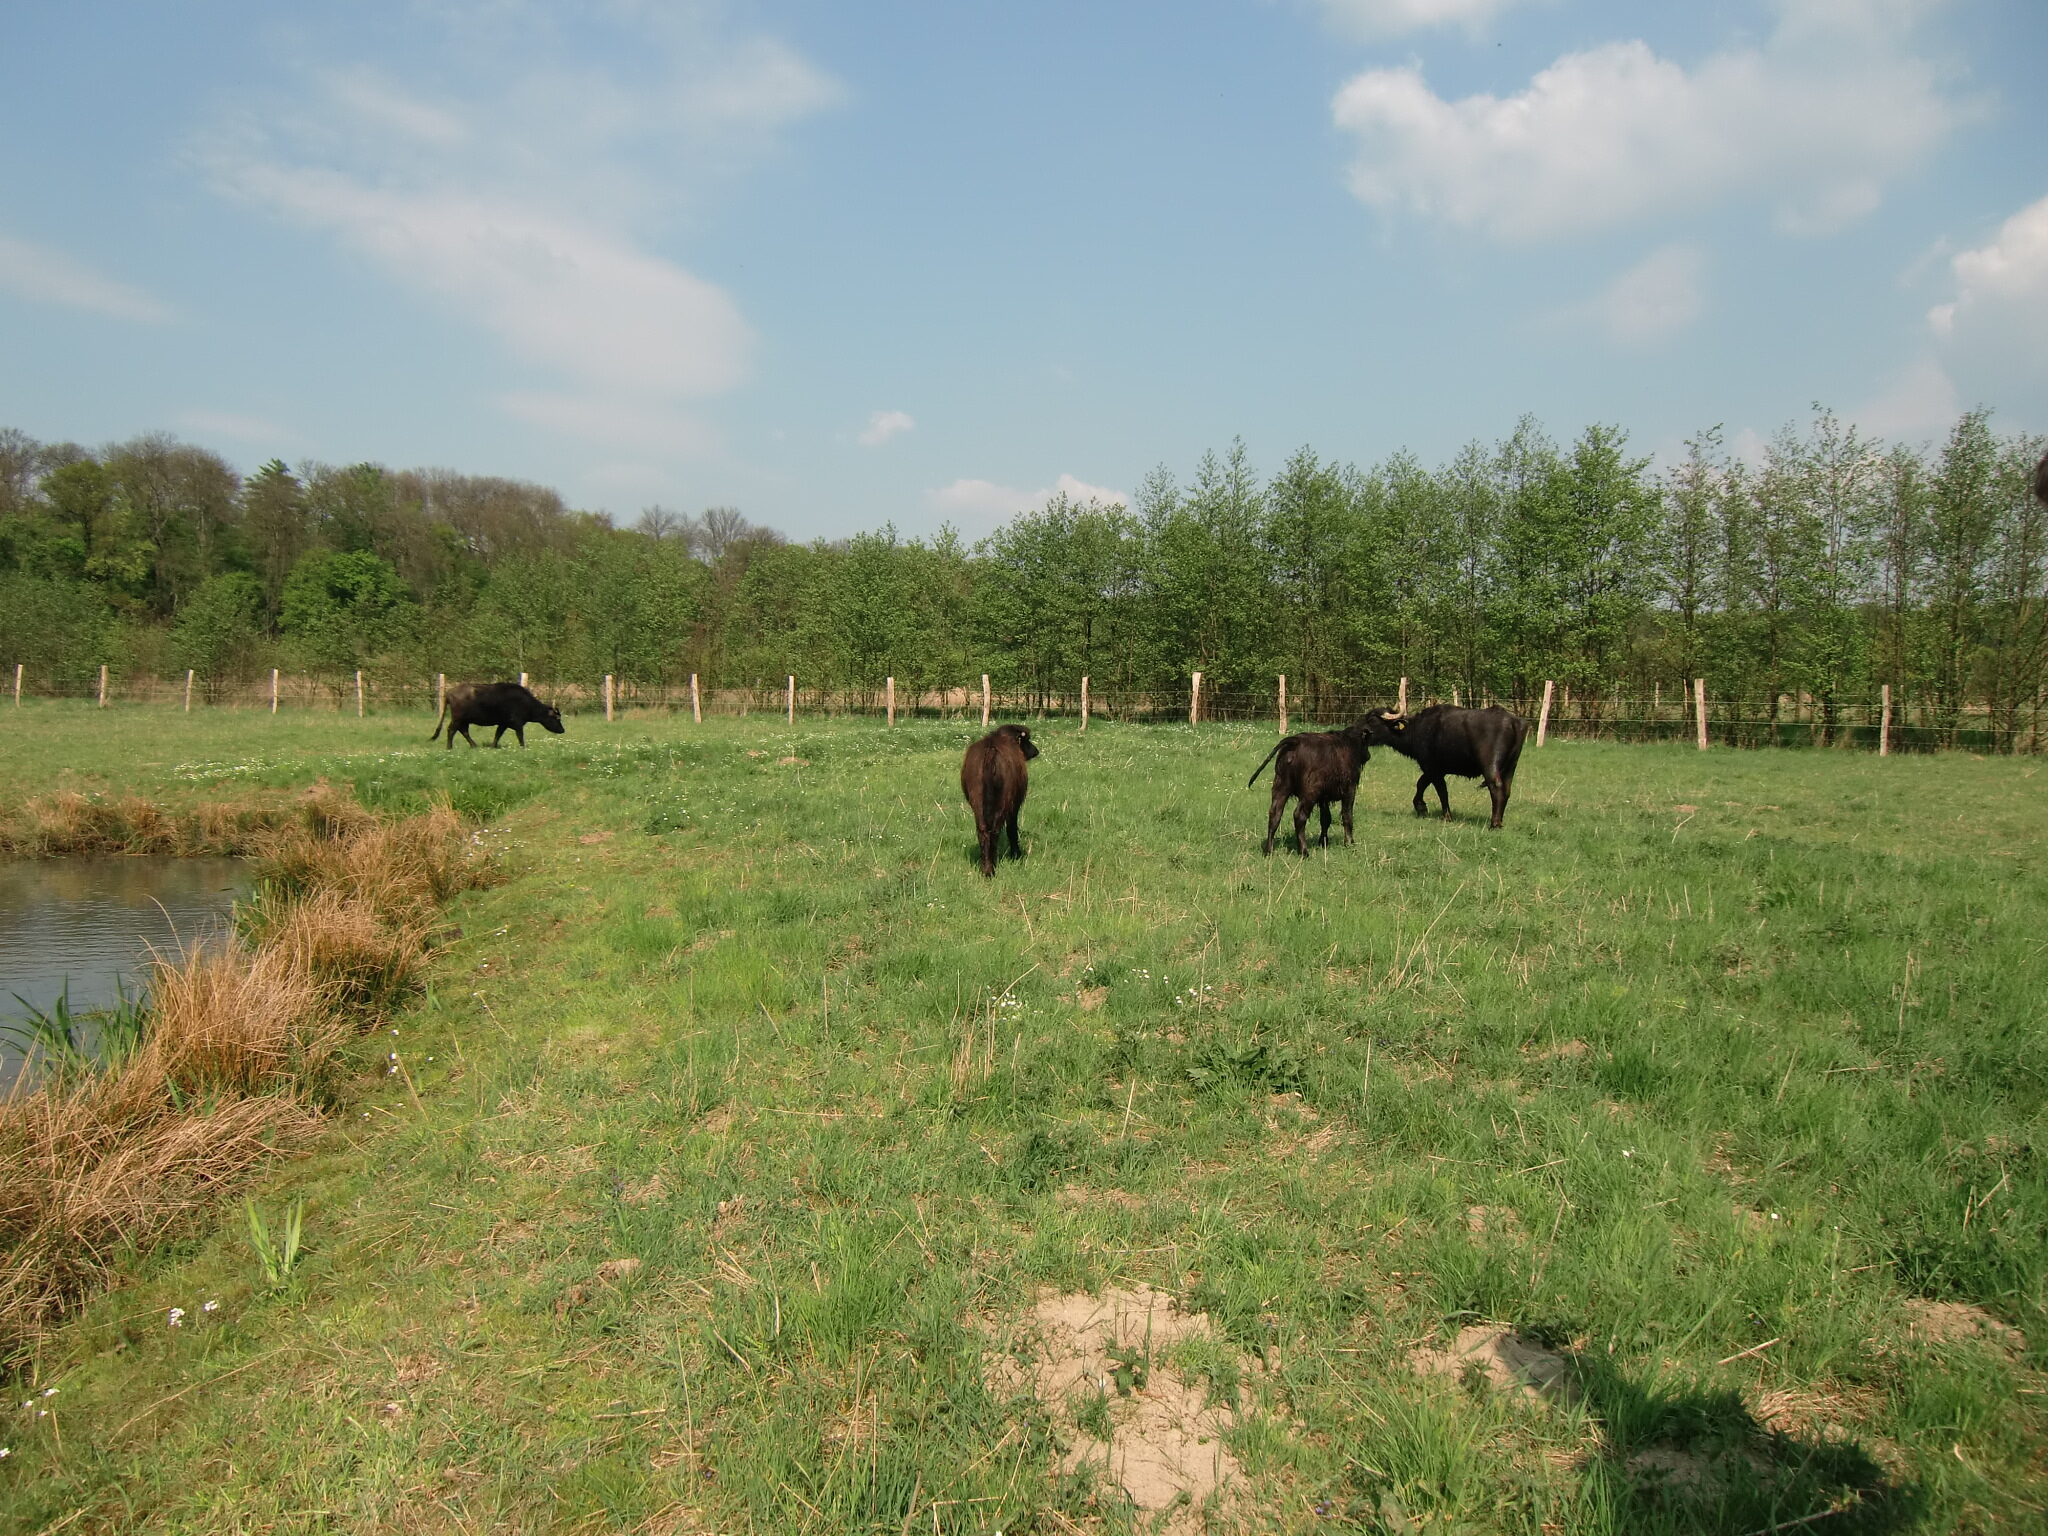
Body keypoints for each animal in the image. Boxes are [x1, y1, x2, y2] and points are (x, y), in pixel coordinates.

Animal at [428, 684, 565, 749]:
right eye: (557, 718)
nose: (563, 730)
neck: (526, 703)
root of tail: (449, 692)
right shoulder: (517, 723)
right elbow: (520, 736)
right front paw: (523, 747)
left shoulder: (503, 723)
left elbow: (498, 734)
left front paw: (493, 746)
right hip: (458, 718)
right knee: (451, 730)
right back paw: (449, 747)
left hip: (464, 720)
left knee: (463, 731)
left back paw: (474, 745)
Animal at [958, 724, 1040, 876]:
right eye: (1027, 740)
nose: (1035, 751)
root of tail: (991, 751)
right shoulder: (1014, 805)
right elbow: (1012, 828)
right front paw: (1016, 855)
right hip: (1003, 802)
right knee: (995, 830)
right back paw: (992, 867)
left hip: (977, 802)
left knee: (983, 831)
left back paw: (986, 868)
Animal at [1245, 720, 1376, 856]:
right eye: (1366, 742)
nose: (1368, 755)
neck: (1349, 744)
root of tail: (1295, 741)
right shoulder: (1349, 790)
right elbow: (1347, 816)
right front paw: (1349, 843)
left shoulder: (1324, 798)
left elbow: (1325, 819)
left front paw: (1323, 842)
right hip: (1309, 793)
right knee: (1299, 816)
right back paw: (1304, 851)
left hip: (1281, 787)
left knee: (1275, 815)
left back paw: (1268, 850)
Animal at [1359, 708, 1523, 831]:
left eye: (1372, 720)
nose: (1359, 732)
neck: (1416, 729)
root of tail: (1512, 721)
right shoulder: (1434, 769)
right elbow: (1421, 783)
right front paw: (1421, 807)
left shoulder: (1431, 767)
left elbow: (1441, 791)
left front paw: (1446, 816)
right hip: (1511, 766)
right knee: (1507, 790)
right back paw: (1500, 820)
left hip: (1490, 765)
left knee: (1496, 787)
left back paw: (1494, 823)